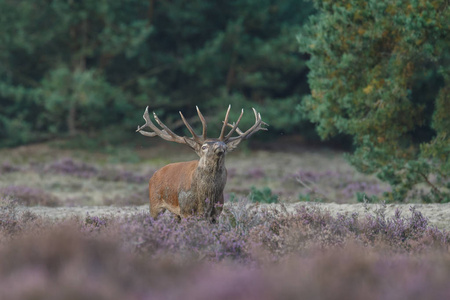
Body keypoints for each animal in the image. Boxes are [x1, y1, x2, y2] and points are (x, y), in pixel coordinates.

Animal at [135, 104, 266, 221]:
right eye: (204, 146)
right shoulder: (186, 210)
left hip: (174, 213)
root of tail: (154, 175)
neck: (206, 199)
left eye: (225, 146)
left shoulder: (216, 213)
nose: (219, 146)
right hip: (154, 203)